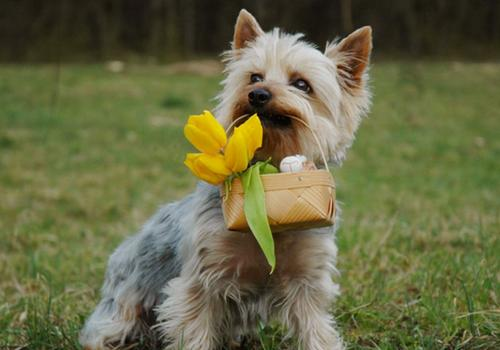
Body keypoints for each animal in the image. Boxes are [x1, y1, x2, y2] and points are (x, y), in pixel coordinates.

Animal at [80, 8, 372, 350]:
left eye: (302, 84)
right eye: (254, 77)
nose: (257, 94)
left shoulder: (307, 279)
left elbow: (316, 330)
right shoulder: (201, 280)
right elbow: (194, 329)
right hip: (121, 309)